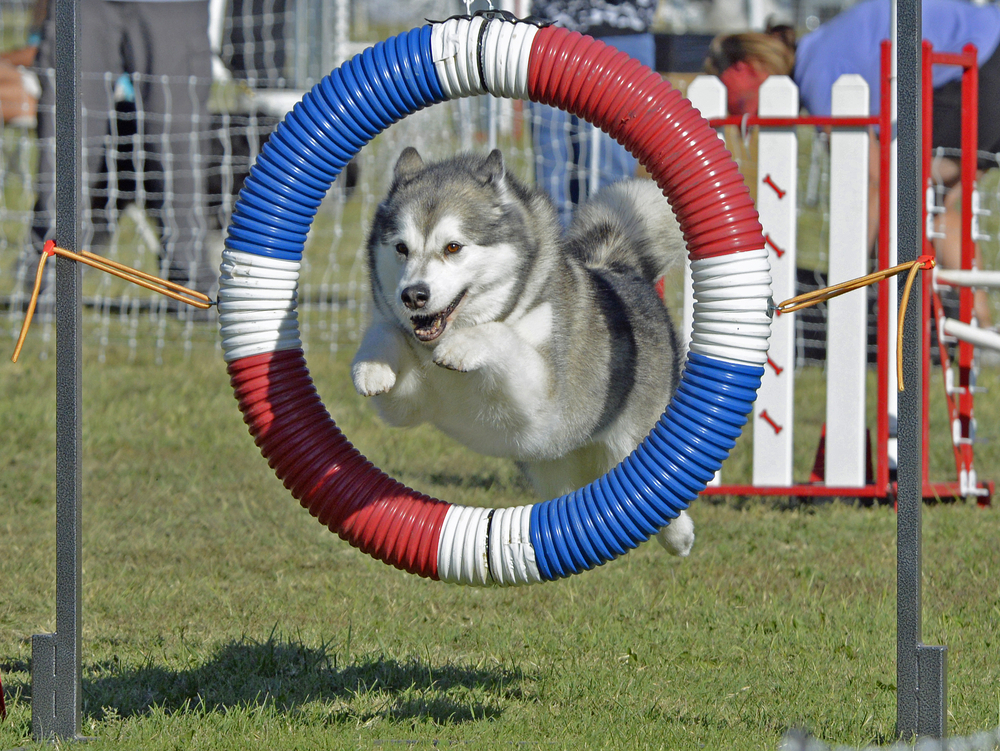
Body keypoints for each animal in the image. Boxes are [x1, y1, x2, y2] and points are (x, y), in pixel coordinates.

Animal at [354, 148, 696, 560]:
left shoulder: (538, 404)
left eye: (453, 247)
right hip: (553, 469)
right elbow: (386, 335)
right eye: (401, 248)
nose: (413, 295)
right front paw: (371, 368)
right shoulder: (411, 403)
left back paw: (679, 536)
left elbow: (501, 334)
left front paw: (466, 346)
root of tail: (619, 269)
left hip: (628, 440)